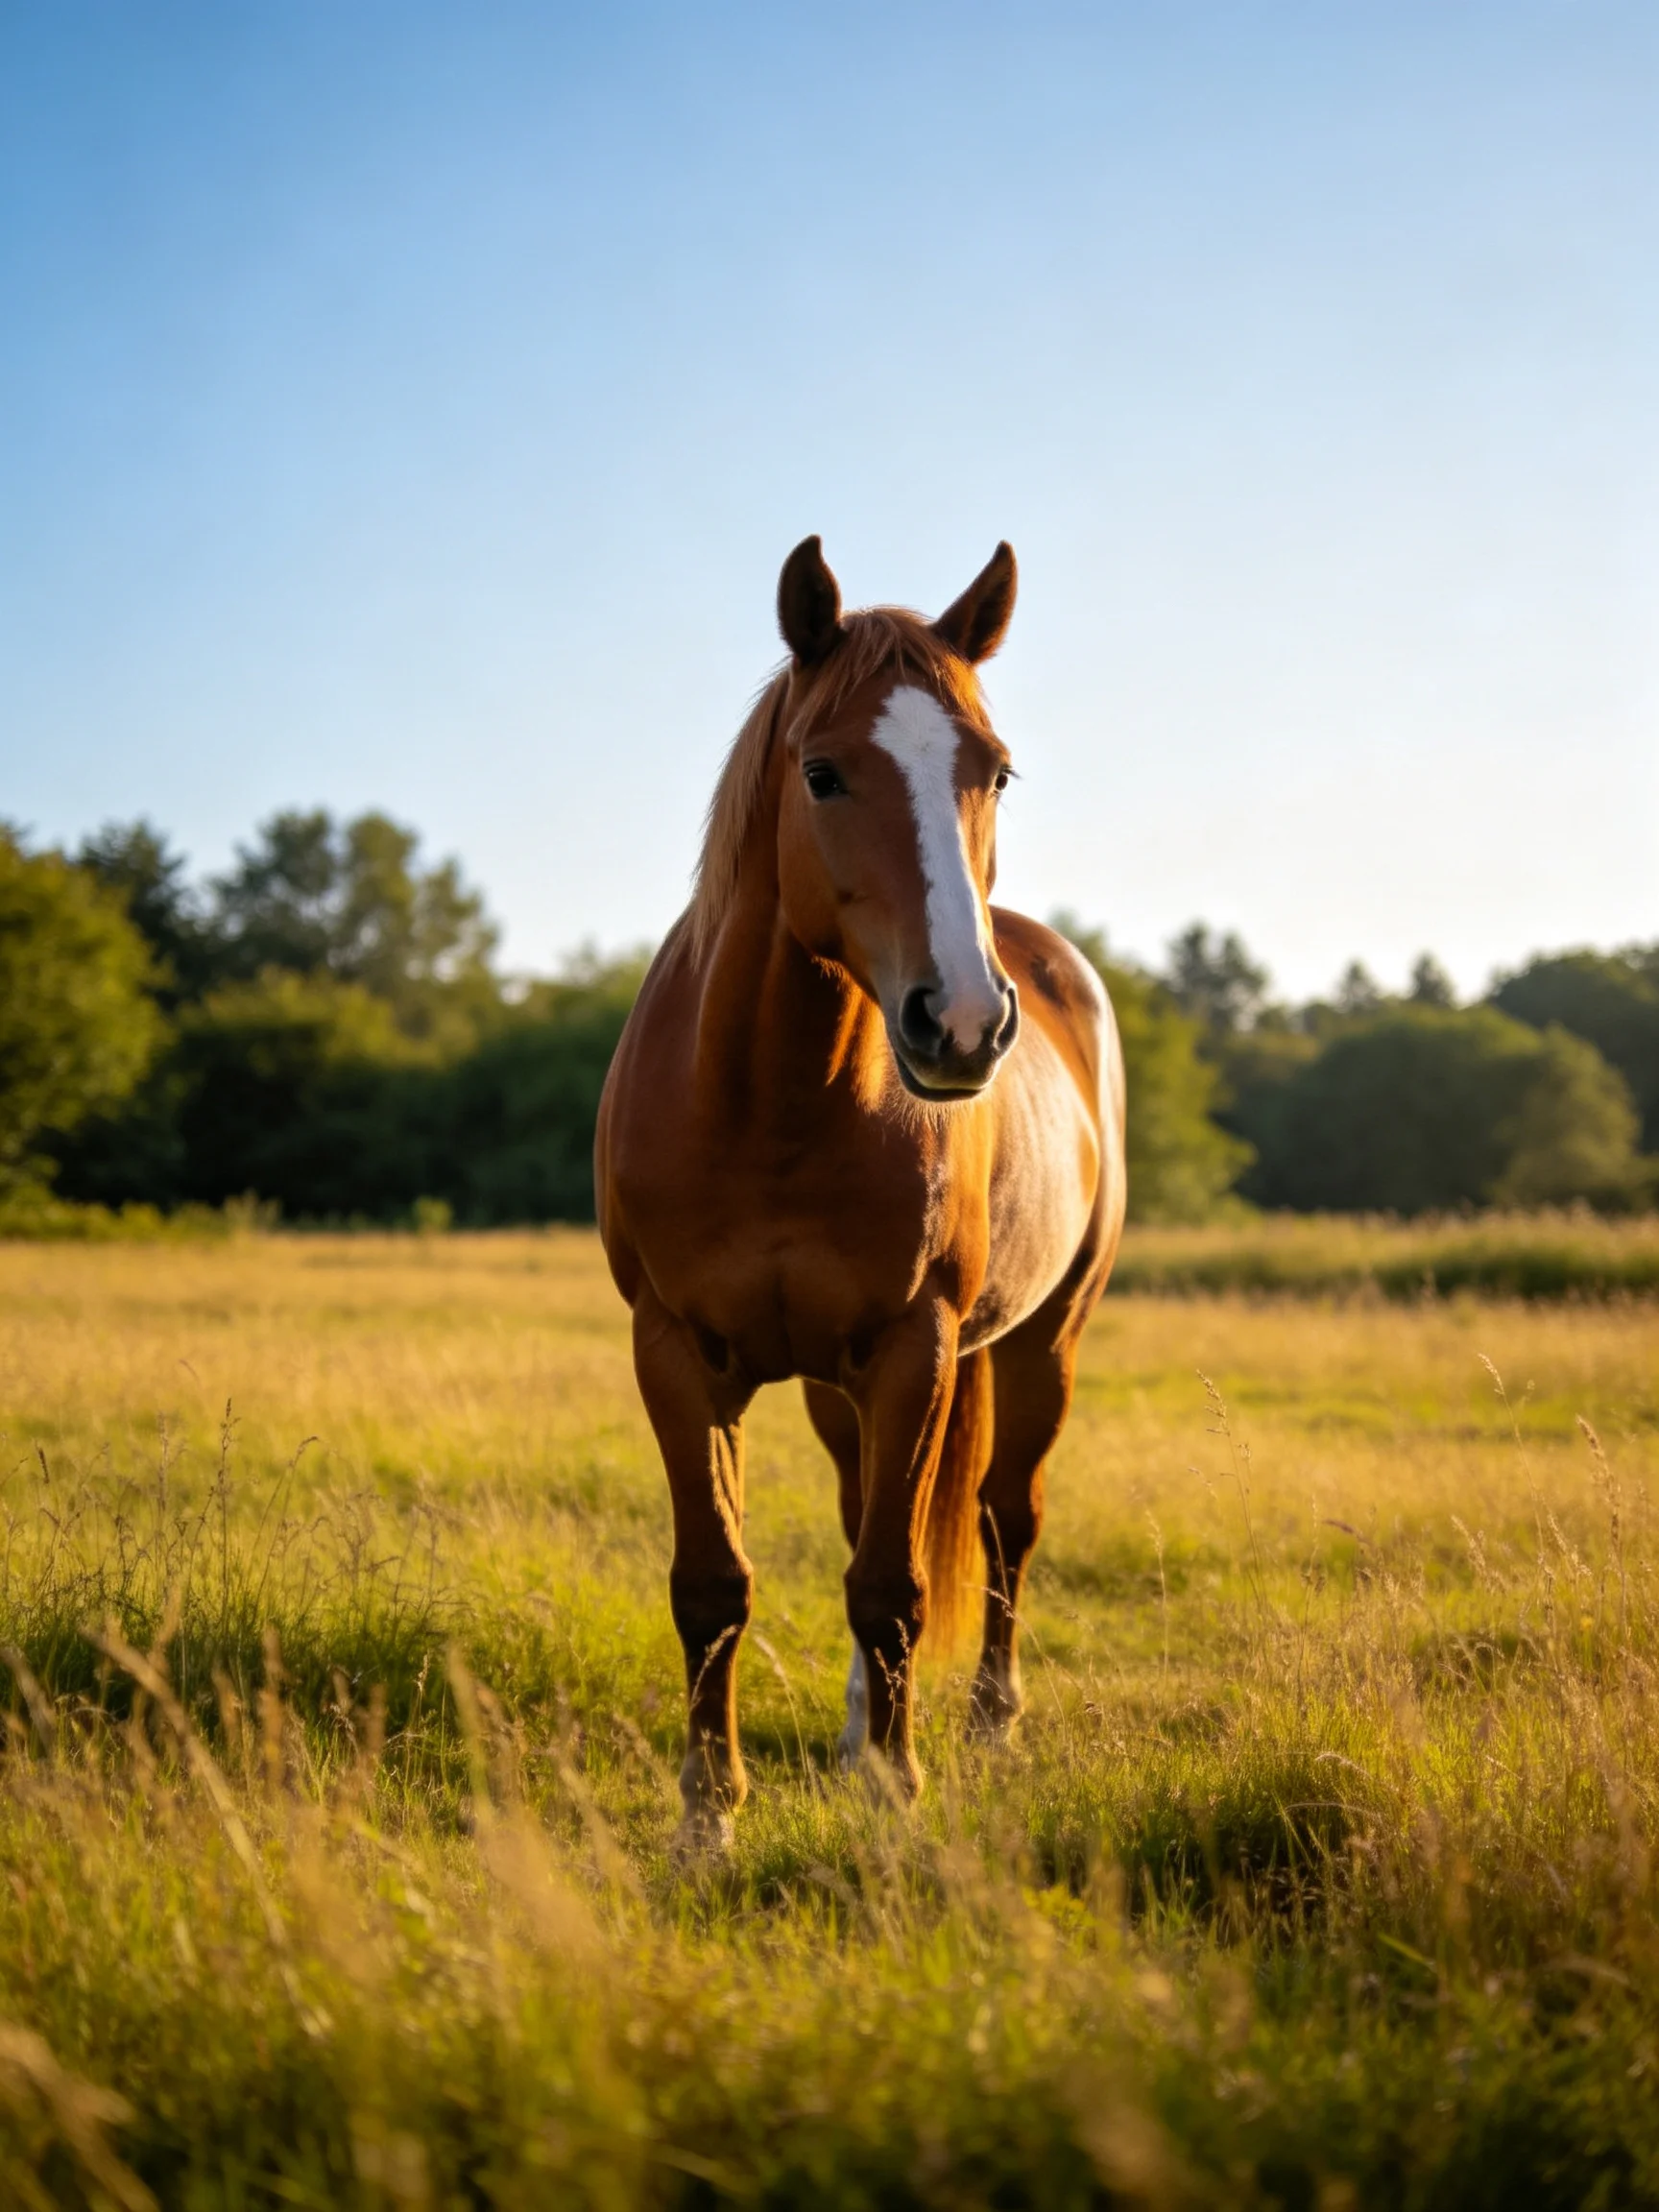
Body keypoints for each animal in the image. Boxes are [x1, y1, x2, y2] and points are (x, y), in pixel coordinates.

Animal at [595, 537, 1126, 1846]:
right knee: (864, 1511)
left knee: (1005, 1518)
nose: (965, 1020)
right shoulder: (674, 1352)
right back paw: (849, 1730)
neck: (772, 1102)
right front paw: (708, 1814)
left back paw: (988, 1720)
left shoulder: (913, 1347)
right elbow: (713, 1584)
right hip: (841, 1389)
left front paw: (896, 1794)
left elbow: (893, 1583)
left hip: (1042, 1341)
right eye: (823, 773)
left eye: (996, 772)